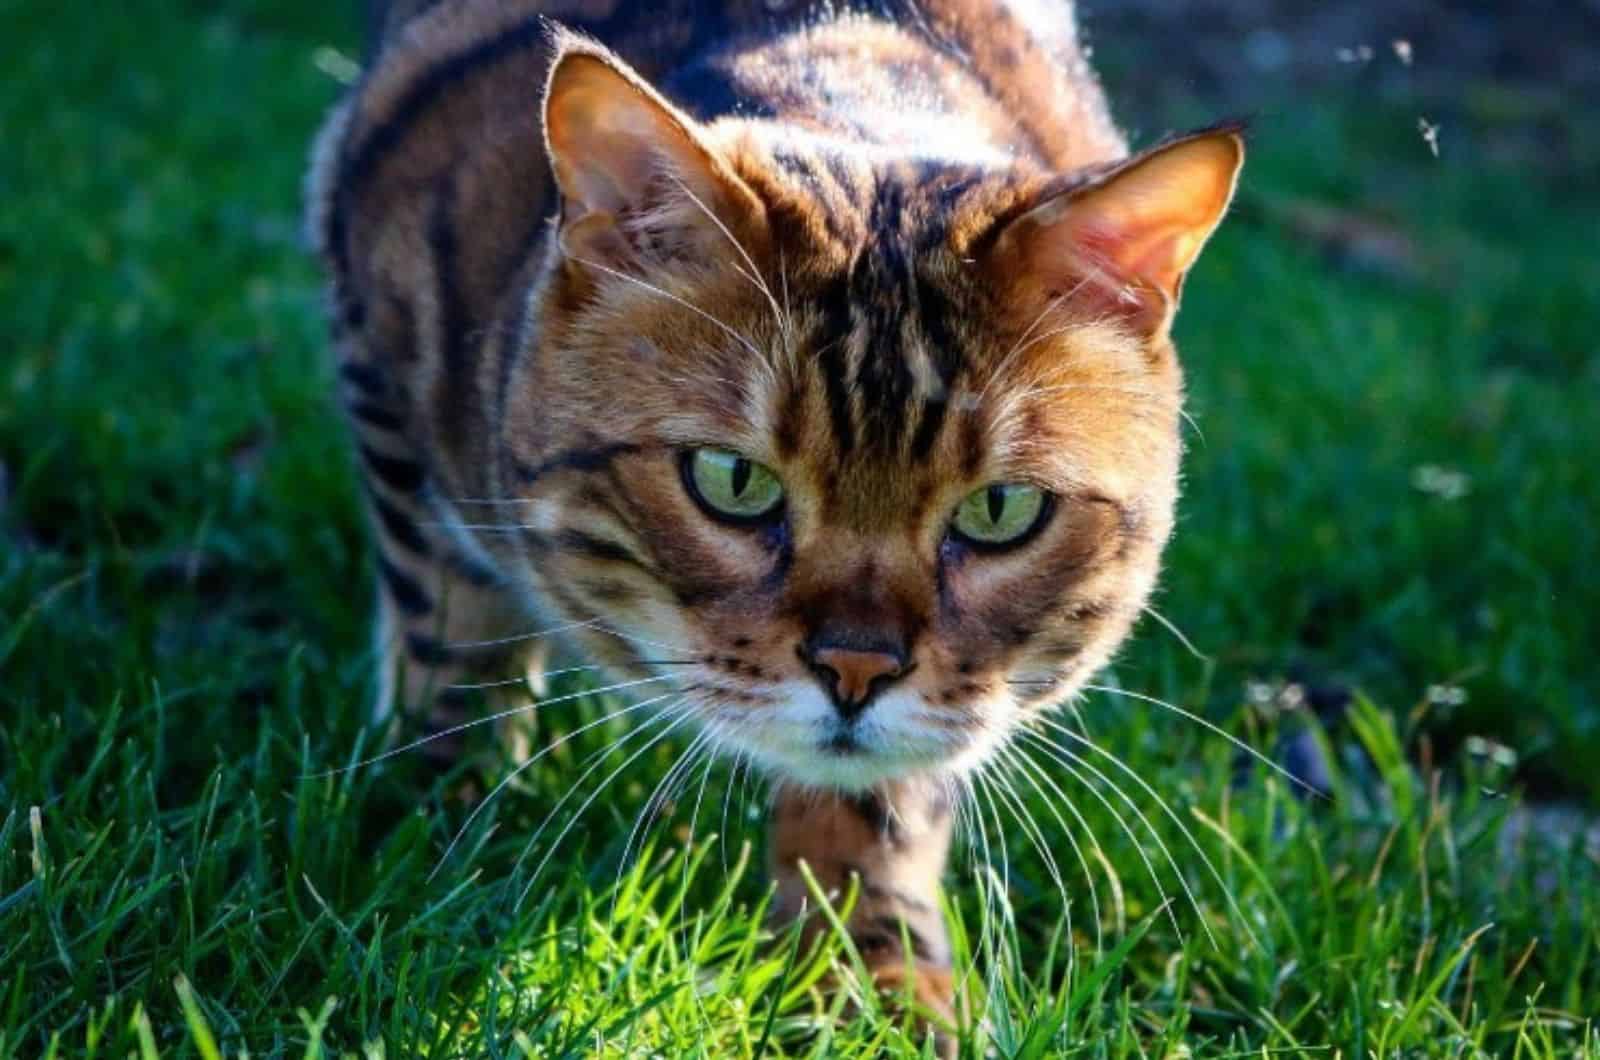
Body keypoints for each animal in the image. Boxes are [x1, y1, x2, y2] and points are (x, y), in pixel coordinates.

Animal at [305, 0, 1241, 1037]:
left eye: (1002, 510)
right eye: (732, 481)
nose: (856, 668)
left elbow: (878, 802)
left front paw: (872, 973)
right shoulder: (381, 365)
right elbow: (448, 633)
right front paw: (447, 807)